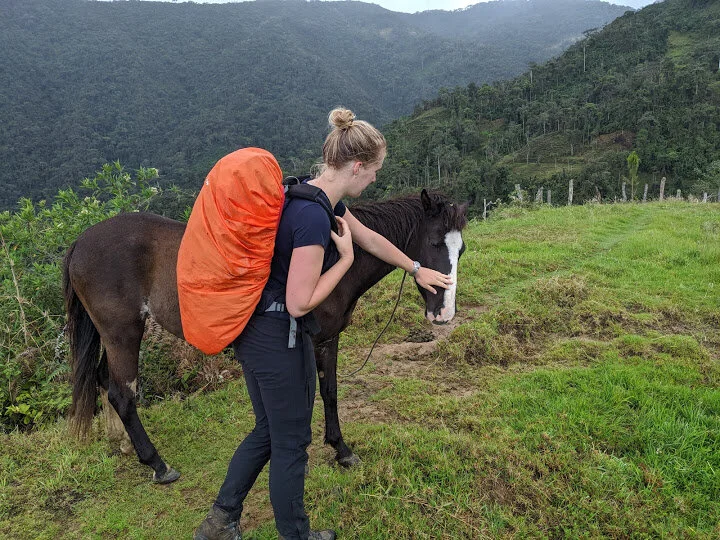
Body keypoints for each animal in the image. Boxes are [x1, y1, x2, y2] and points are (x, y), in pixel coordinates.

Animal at [63, 189, 467, 483]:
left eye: (460, 249)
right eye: (435, 242)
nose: (443, 313)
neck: (331, 258)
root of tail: (81, 241)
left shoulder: (329, 339)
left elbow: (331, 391)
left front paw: (338, 449)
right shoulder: (314, 341)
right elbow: (316, 395)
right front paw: (332, 450)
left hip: (115, 335)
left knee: (105, 381)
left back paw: (124, 445)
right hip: (123, 333)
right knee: (122, 394)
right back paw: (157, 464)